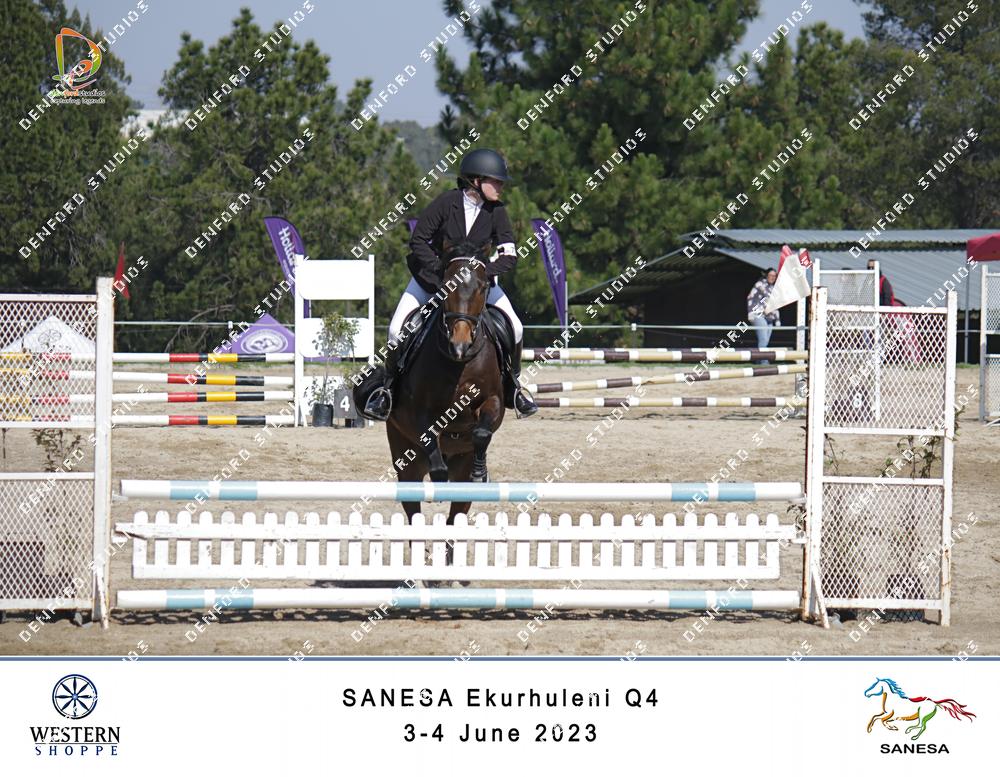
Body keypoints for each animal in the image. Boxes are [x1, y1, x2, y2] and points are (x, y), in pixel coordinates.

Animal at [386, 240, 507, 526]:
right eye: (445, 285)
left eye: (483, 287)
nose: (459, 344)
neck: (459, 363)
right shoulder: (417, 409)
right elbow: (429, 434)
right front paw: (439, 474)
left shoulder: (493, 400)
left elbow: (482, 432)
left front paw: (481, 472)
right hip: (405, 462)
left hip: (461, 470)